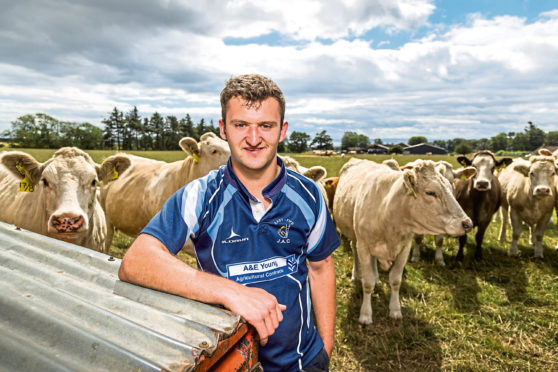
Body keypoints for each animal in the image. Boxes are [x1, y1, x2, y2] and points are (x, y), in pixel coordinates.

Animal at [334, 158, 474, 324]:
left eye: (451, 186)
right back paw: (356, 274)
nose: (467, 223)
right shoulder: (364, 246)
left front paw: (395, 310)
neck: (388, 213)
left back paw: (376, 277)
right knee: (354, 250)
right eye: (431, 192)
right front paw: (365, 315)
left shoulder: (404, 249)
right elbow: (367, 283)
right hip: (355, 237)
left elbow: (395, 281)